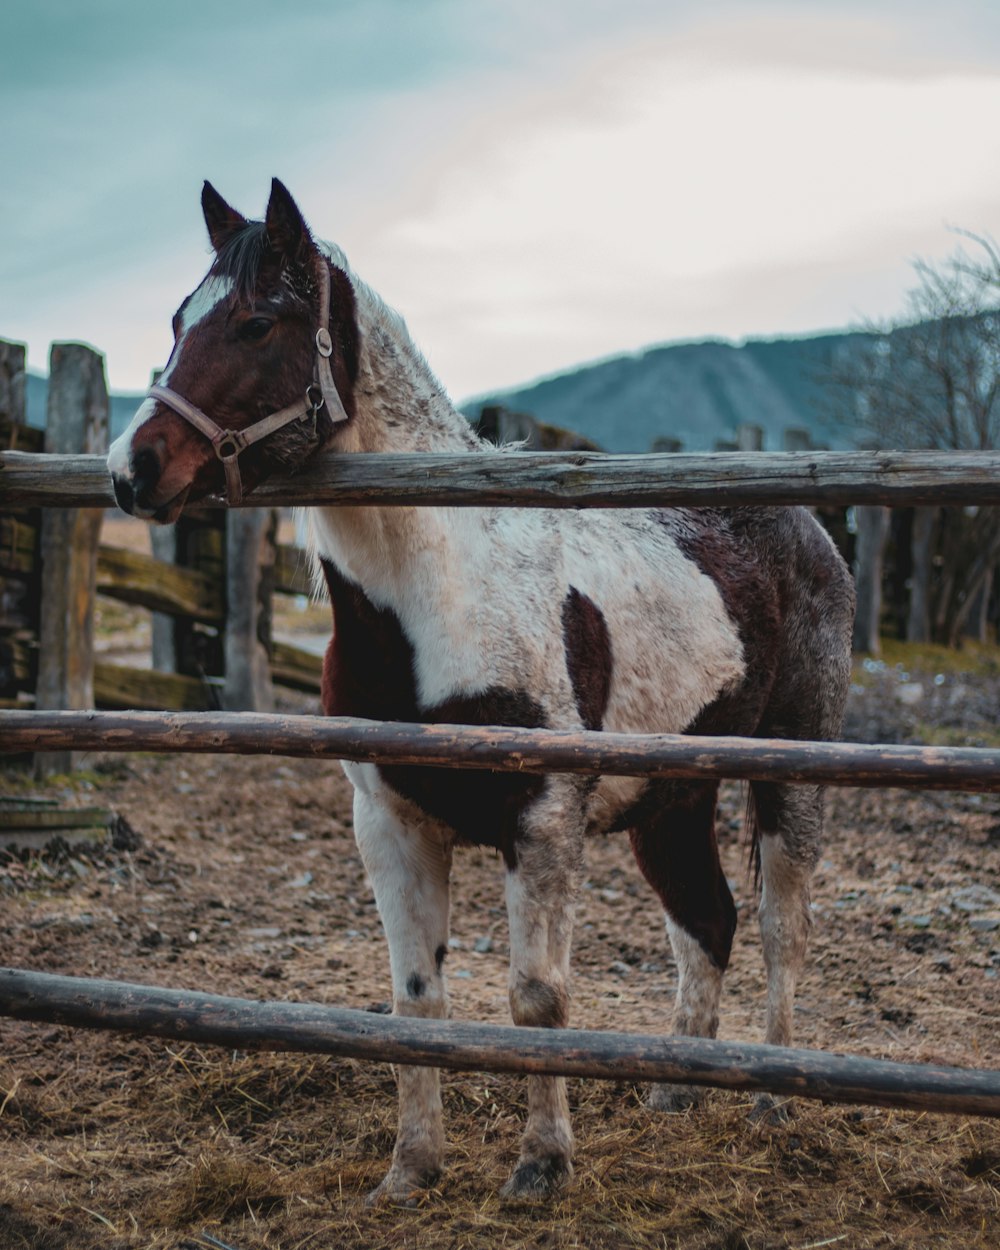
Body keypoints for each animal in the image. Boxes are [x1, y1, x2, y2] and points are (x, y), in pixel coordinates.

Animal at [109, 176, 860, 1200]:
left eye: (258, 323)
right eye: (180, 319)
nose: (130, 470)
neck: (444, 595)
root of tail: (811, 529)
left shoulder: (539, 823)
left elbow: (536, 999)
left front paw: (542, 1164)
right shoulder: (390, 823)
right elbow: (416, 1001)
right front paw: (411, 1169)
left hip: (792, 779)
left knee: (785, 927)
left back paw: (774, 1099)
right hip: (672, 798)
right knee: (706, 920)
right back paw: (677, 1090)